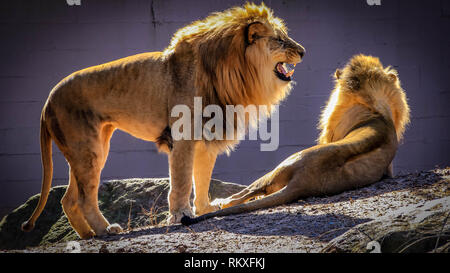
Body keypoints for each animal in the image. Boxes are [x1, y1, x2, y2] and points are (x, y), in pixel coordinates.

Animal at [19, 2, 304, 238]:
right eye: (280, 40)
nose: (302, 51)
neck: (234, 71)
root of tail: (47, 101)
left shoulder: (207, 135)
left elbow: (202, 178)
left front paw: (205, 209)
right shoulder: (183, 135)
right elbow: (182, 180)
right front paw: (181, 215)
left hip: (87, 150)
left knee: (67, 200)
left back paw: (87, 235)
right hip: (89, 149)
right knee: (84, 199)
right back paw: (105, 230)